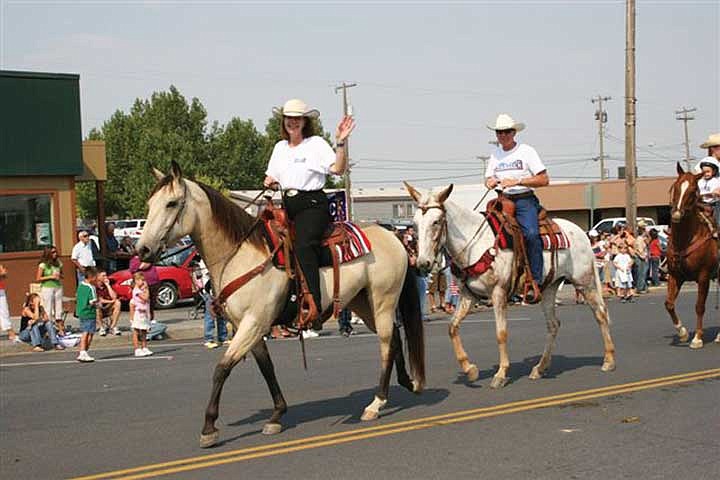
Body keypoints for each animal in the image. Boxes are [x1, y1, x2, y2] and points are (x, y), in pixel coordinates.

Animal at [136, 163, 422, 448]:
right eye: (150, 203)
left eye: (172, 203)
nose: (142, 250)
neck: (241, 255)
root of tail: (393, 237)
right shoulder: (250, 326)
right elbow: (267, 368)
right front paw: (276, 415)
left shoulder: (253, 323)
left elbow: (222, 368)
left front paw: (209, 427)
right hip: (363, 303)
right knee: (394, 339)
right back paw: (406, 383)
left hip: (383, 301)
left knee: (386, 343)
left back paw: (376, 403)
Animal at [402, 182, 616, 388]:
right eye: (415, 224)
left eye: (436, 221)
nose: (423, 263)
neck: (476, 244)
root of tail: (582, 233)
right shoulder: (468, 295)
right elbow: (452, 327)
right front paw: (470, 369)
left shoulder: (499, 293)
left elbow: (501, 333)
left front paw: (501, 374)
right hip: (549, 288)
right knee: (553, 324)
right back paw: (539, 368)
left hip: (585, 281)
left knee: (600, 314)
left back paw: (609, 360)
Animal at [668, 163, 716, 346]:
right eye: (675, 186)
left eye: (693, 190)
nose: (676, 214)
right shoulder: (675, 275)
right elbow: (669, 304)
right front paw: (681, 332)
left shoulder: (704, 276)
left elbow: (699, 306)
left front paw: (697, 337)